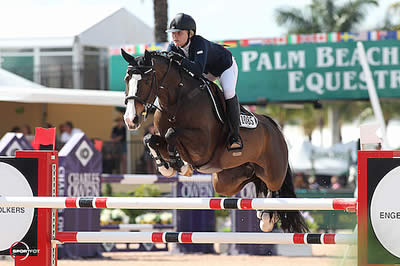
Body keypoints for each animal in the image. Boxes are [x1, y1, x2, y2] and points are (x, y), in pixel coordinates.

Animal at [122, 48, 310, 233]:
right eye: (127, 79)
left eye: (146, 81)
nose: (131, 120)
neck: (176, 101)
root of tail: (274, 127)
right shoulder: (166, 140)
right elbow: (150, 139)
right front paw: (166, 168)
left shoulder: (202, 146)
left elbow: (171, 133)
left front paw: (181, 166)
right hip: (224, 181)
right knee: (254, 178)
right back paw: (263, 211)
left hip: (273, 171)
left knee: (274, 187)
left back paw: (267, 217)